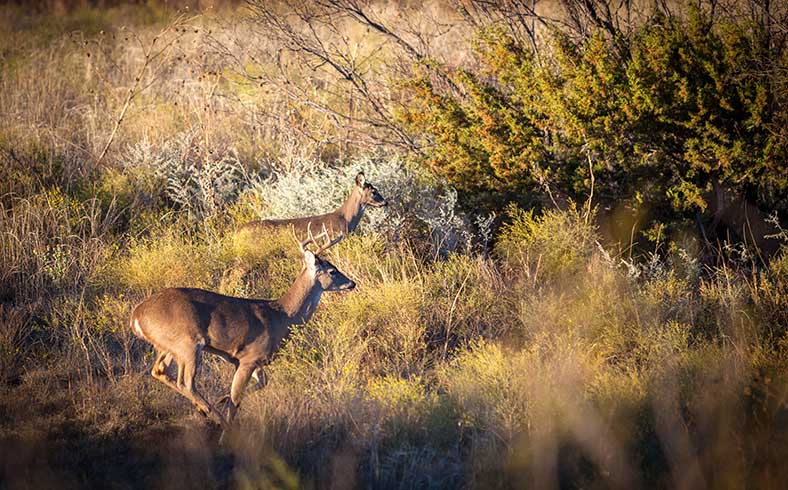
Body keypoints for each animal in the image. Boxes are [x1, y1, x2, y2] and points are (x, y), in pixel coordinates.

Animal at [131, 224, 352, 438]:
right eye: (332, 271)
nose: (352, 283)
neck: (281, 317)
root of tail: (136, 315)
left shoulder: (249, 360)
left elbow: (260, 384)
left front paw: (222, 398)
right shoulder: (249, 357)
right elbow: (236, 399)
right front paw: (226, 435)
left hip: (167, 345)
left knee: (159, 370)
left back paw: (206, 409)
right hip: (188, 343)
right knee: (185, 382)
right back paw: (217, 419)